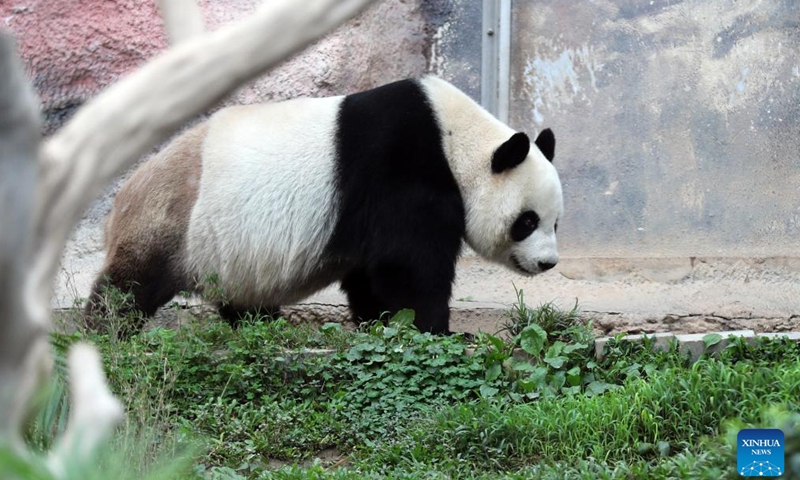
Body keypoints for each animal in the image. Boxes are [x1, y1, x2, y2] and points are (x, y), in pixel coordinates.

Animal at [86, 77, 564, 336]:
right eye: (526, 221)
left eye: (556, 222)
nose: (547, 264)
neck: (456, 140)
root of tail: (117, 204)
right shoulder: (401, 170)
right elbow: (408, 267)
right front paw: (435, 331)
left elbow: (371, 276)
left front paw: (382, 325)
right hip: (173, 221)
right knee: (129, 286)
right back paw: (105, 333)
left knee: (243, 301)